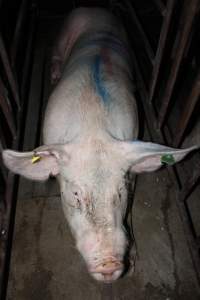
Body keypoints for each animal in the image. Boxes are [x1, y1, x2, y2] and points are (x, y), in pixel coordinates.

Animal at [1, 7, 198, 284]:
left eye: (120, 193)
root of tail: (96, 8)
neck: (94, 129)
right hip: (65, 31)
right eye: (75, 195)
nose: (109, 264)